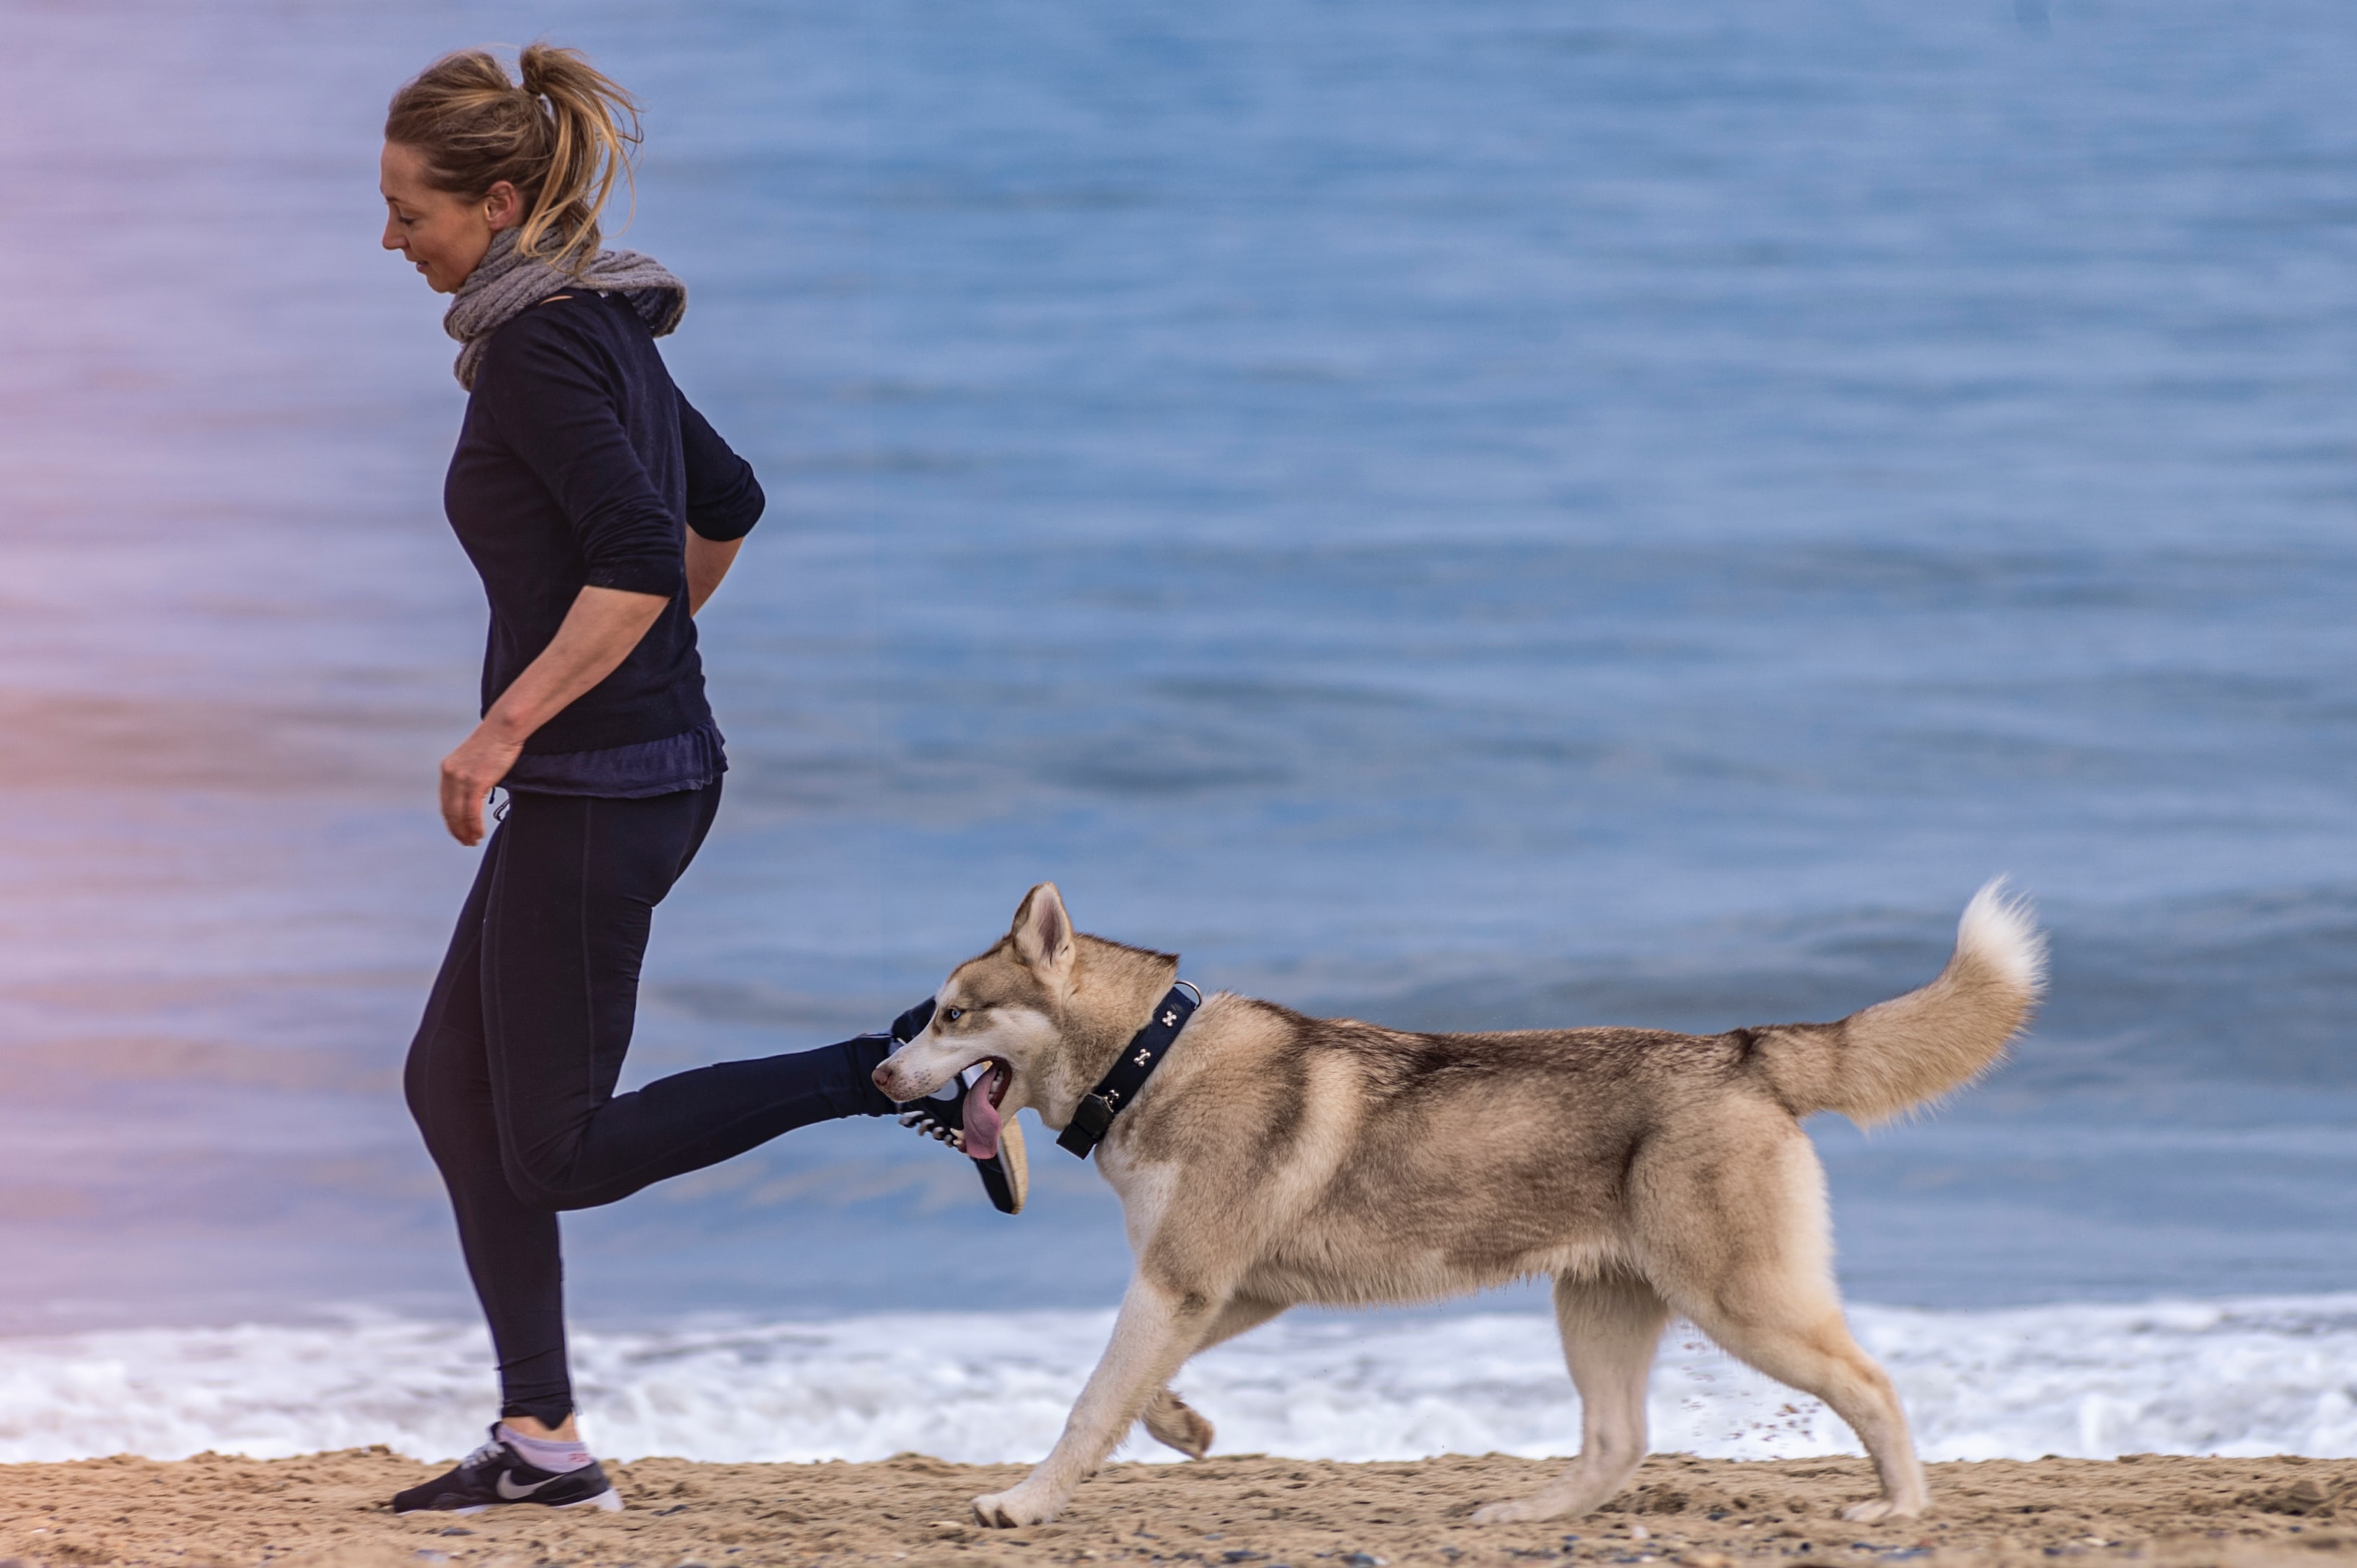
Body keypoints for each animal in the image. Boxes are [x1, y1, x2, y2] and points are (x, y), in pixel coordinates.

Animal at [881, 881, 2045, 1528]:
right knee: (1618, 1441)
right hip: (1600, 1306)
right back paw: (1526, 1511)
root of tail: (1742, 1047)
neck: (1149, 1057)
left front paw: (1023, 1501)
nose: (885, 1077)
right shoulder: (1220, 1287)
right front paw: (1178, 1422)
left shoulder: (1181, 1278)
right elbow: (1136, 1385)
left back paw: (1899, 1505)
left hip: (1743, 1303)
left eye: (951, 1015)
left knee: (1872, 1384)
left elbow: (1087, 1400)